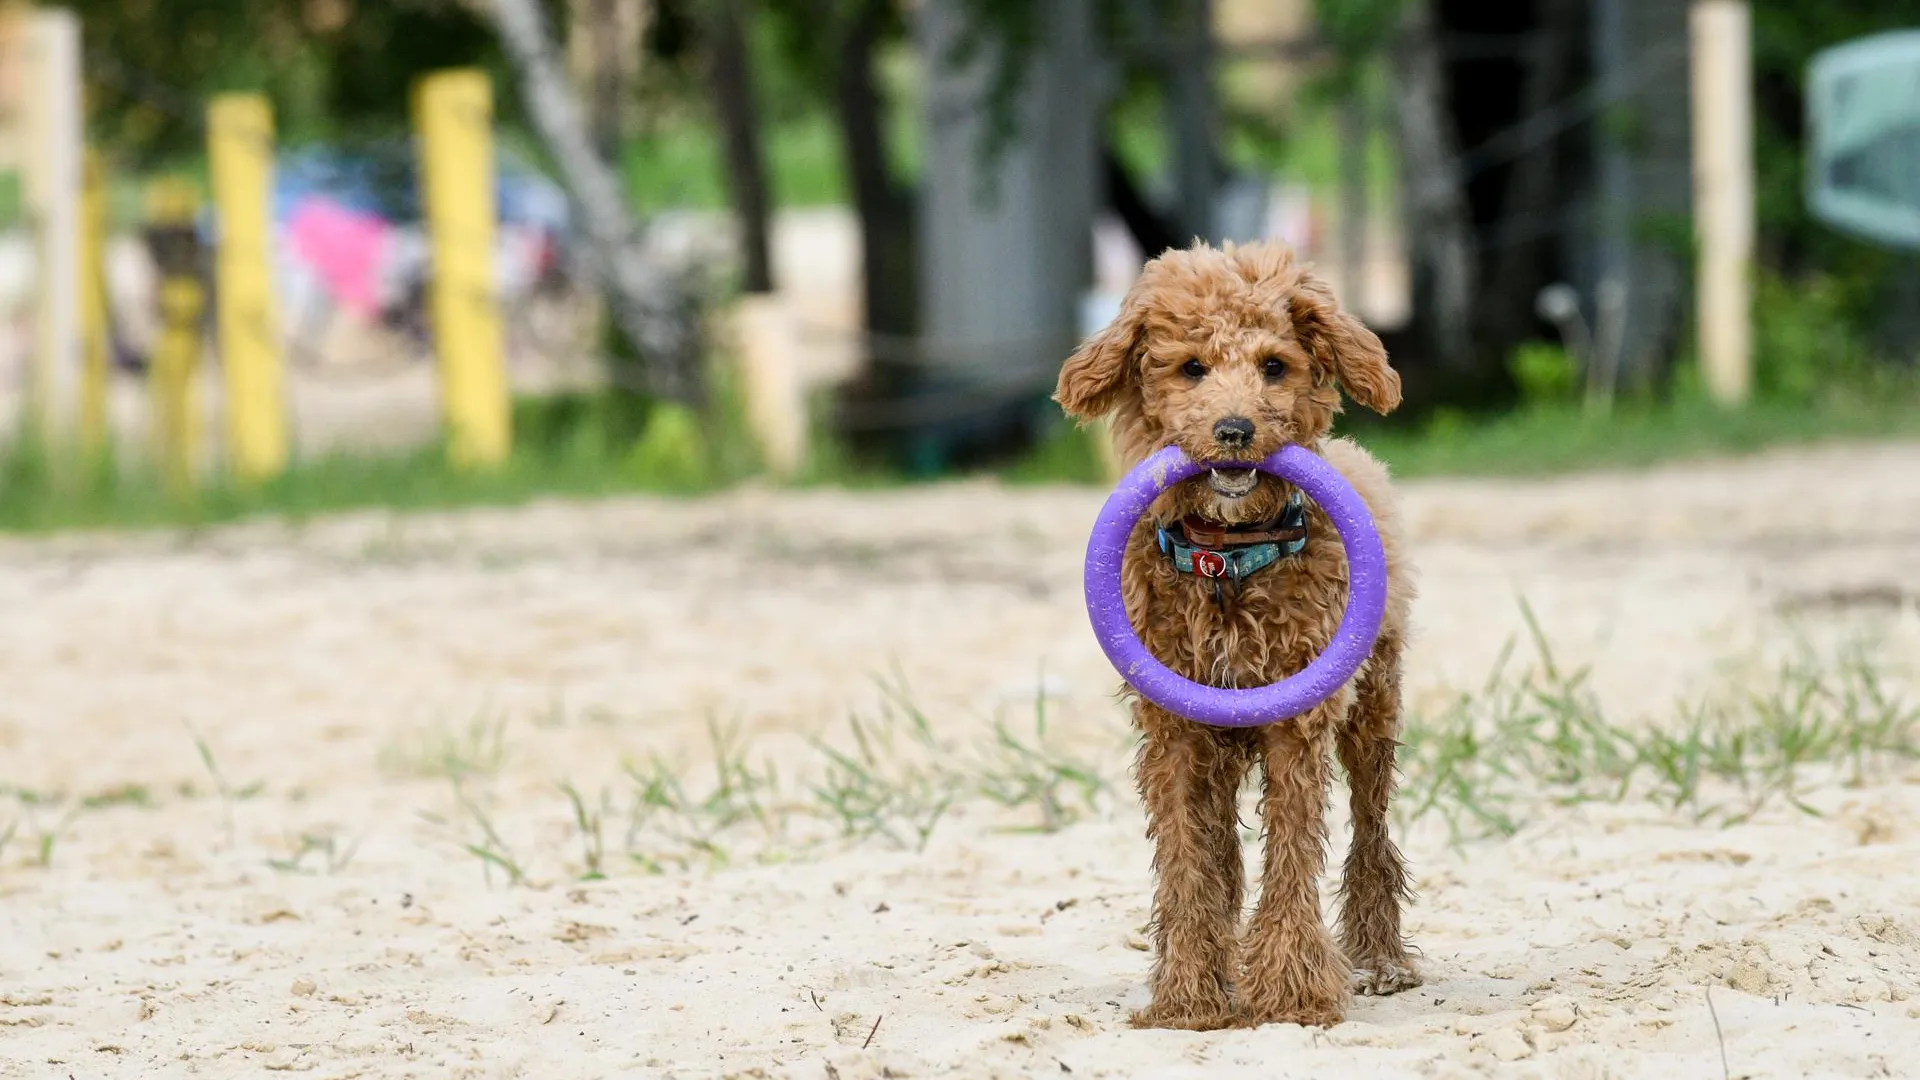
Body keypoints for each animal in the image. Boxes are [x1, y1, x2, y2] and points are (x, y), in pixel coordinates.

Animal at [1059, 239, 1420, 1030]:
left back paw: (1380, 959)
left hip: (1374, 709)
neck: (1225, 560)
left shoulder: (1298, 721)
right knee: (1222, 851)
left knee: (1371, 828)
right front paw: (1187, 995)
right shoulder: (1173, 731)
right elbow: (1187, 858)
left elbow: (1292, 848)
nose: (1233, 431)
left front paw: (1290, 992)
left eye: (1274, 366)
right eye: (1192, 367)